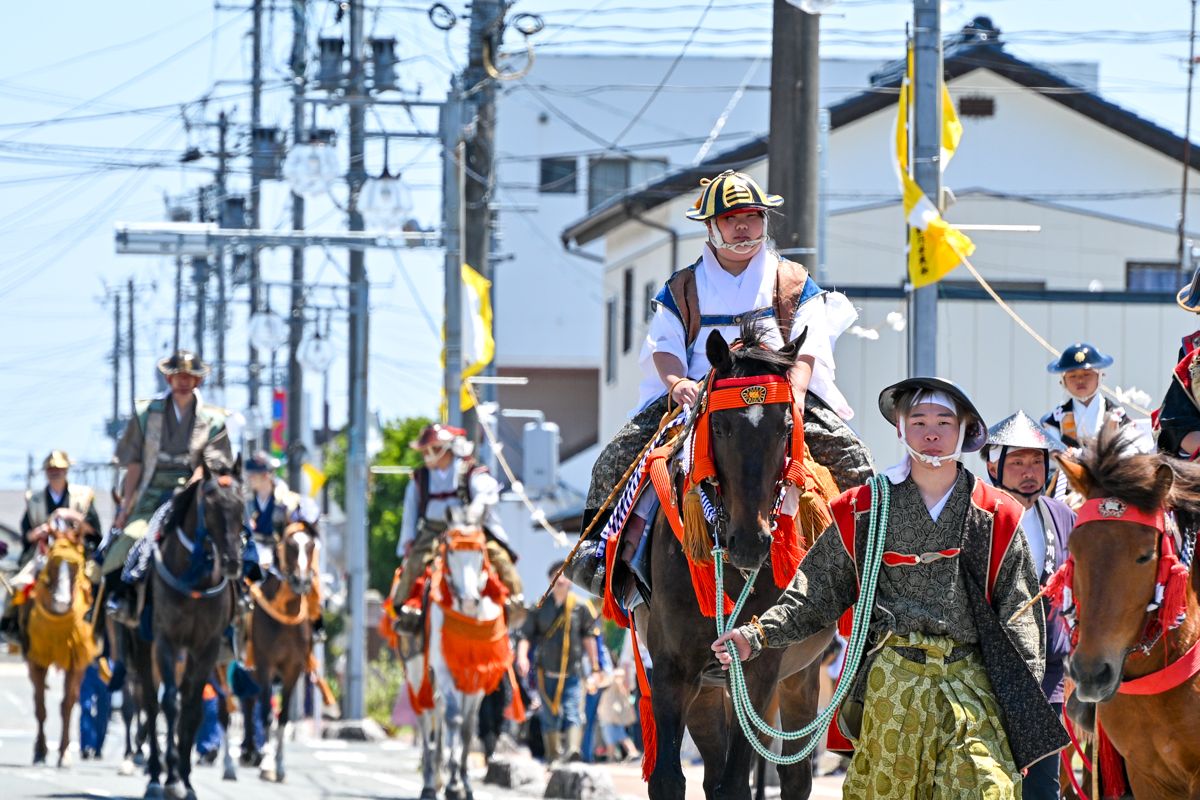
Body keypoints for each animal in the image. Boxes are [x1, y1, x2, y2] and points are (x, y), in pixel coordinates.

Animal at [16, 520, 97, 767]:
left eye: (76, 565)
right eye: (51, 562)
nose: (61, 602)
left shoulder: (77, 660)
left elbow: (67, 705)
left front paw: (64, 752)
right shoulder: (36, 658)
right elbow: (40, 706)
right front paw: (41, 751)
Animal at [128, 462, 243, 800]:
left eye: (242, 506)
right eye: (213, 506)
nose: (232, 562)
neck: (196, 580)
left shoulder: (206, 646)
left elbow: (192, 708)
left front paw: (186, 780)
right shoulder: (166, 641)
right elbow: (170, 704)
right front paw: (170, 778)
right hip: (143, 646)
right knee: (150, 704)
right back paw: (156, 775)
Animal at [236, 520, 321, 782]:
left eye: (311, 546)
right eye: (291, 546)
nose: (302, 581)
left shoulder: (294, 668)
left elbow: (282, 717)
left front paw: (279, 764)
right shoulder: (265, 664)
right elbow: (266, 713)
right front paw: (266, 764)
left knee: (250, 700)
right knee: (248, 702)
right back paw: (249, 752)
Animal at [403, 515, 516, 800]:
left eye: (481, 552)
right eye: (451, 551)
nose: (468, 599)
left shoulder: (477, 675)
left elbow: (467, 727)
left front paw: (463, 782)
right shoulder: (444, 670)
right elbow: (453, 720)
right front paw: (453, 784)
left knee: (442, 717)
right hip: (417, 674)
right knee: (427, 720)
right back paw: (430, 781)